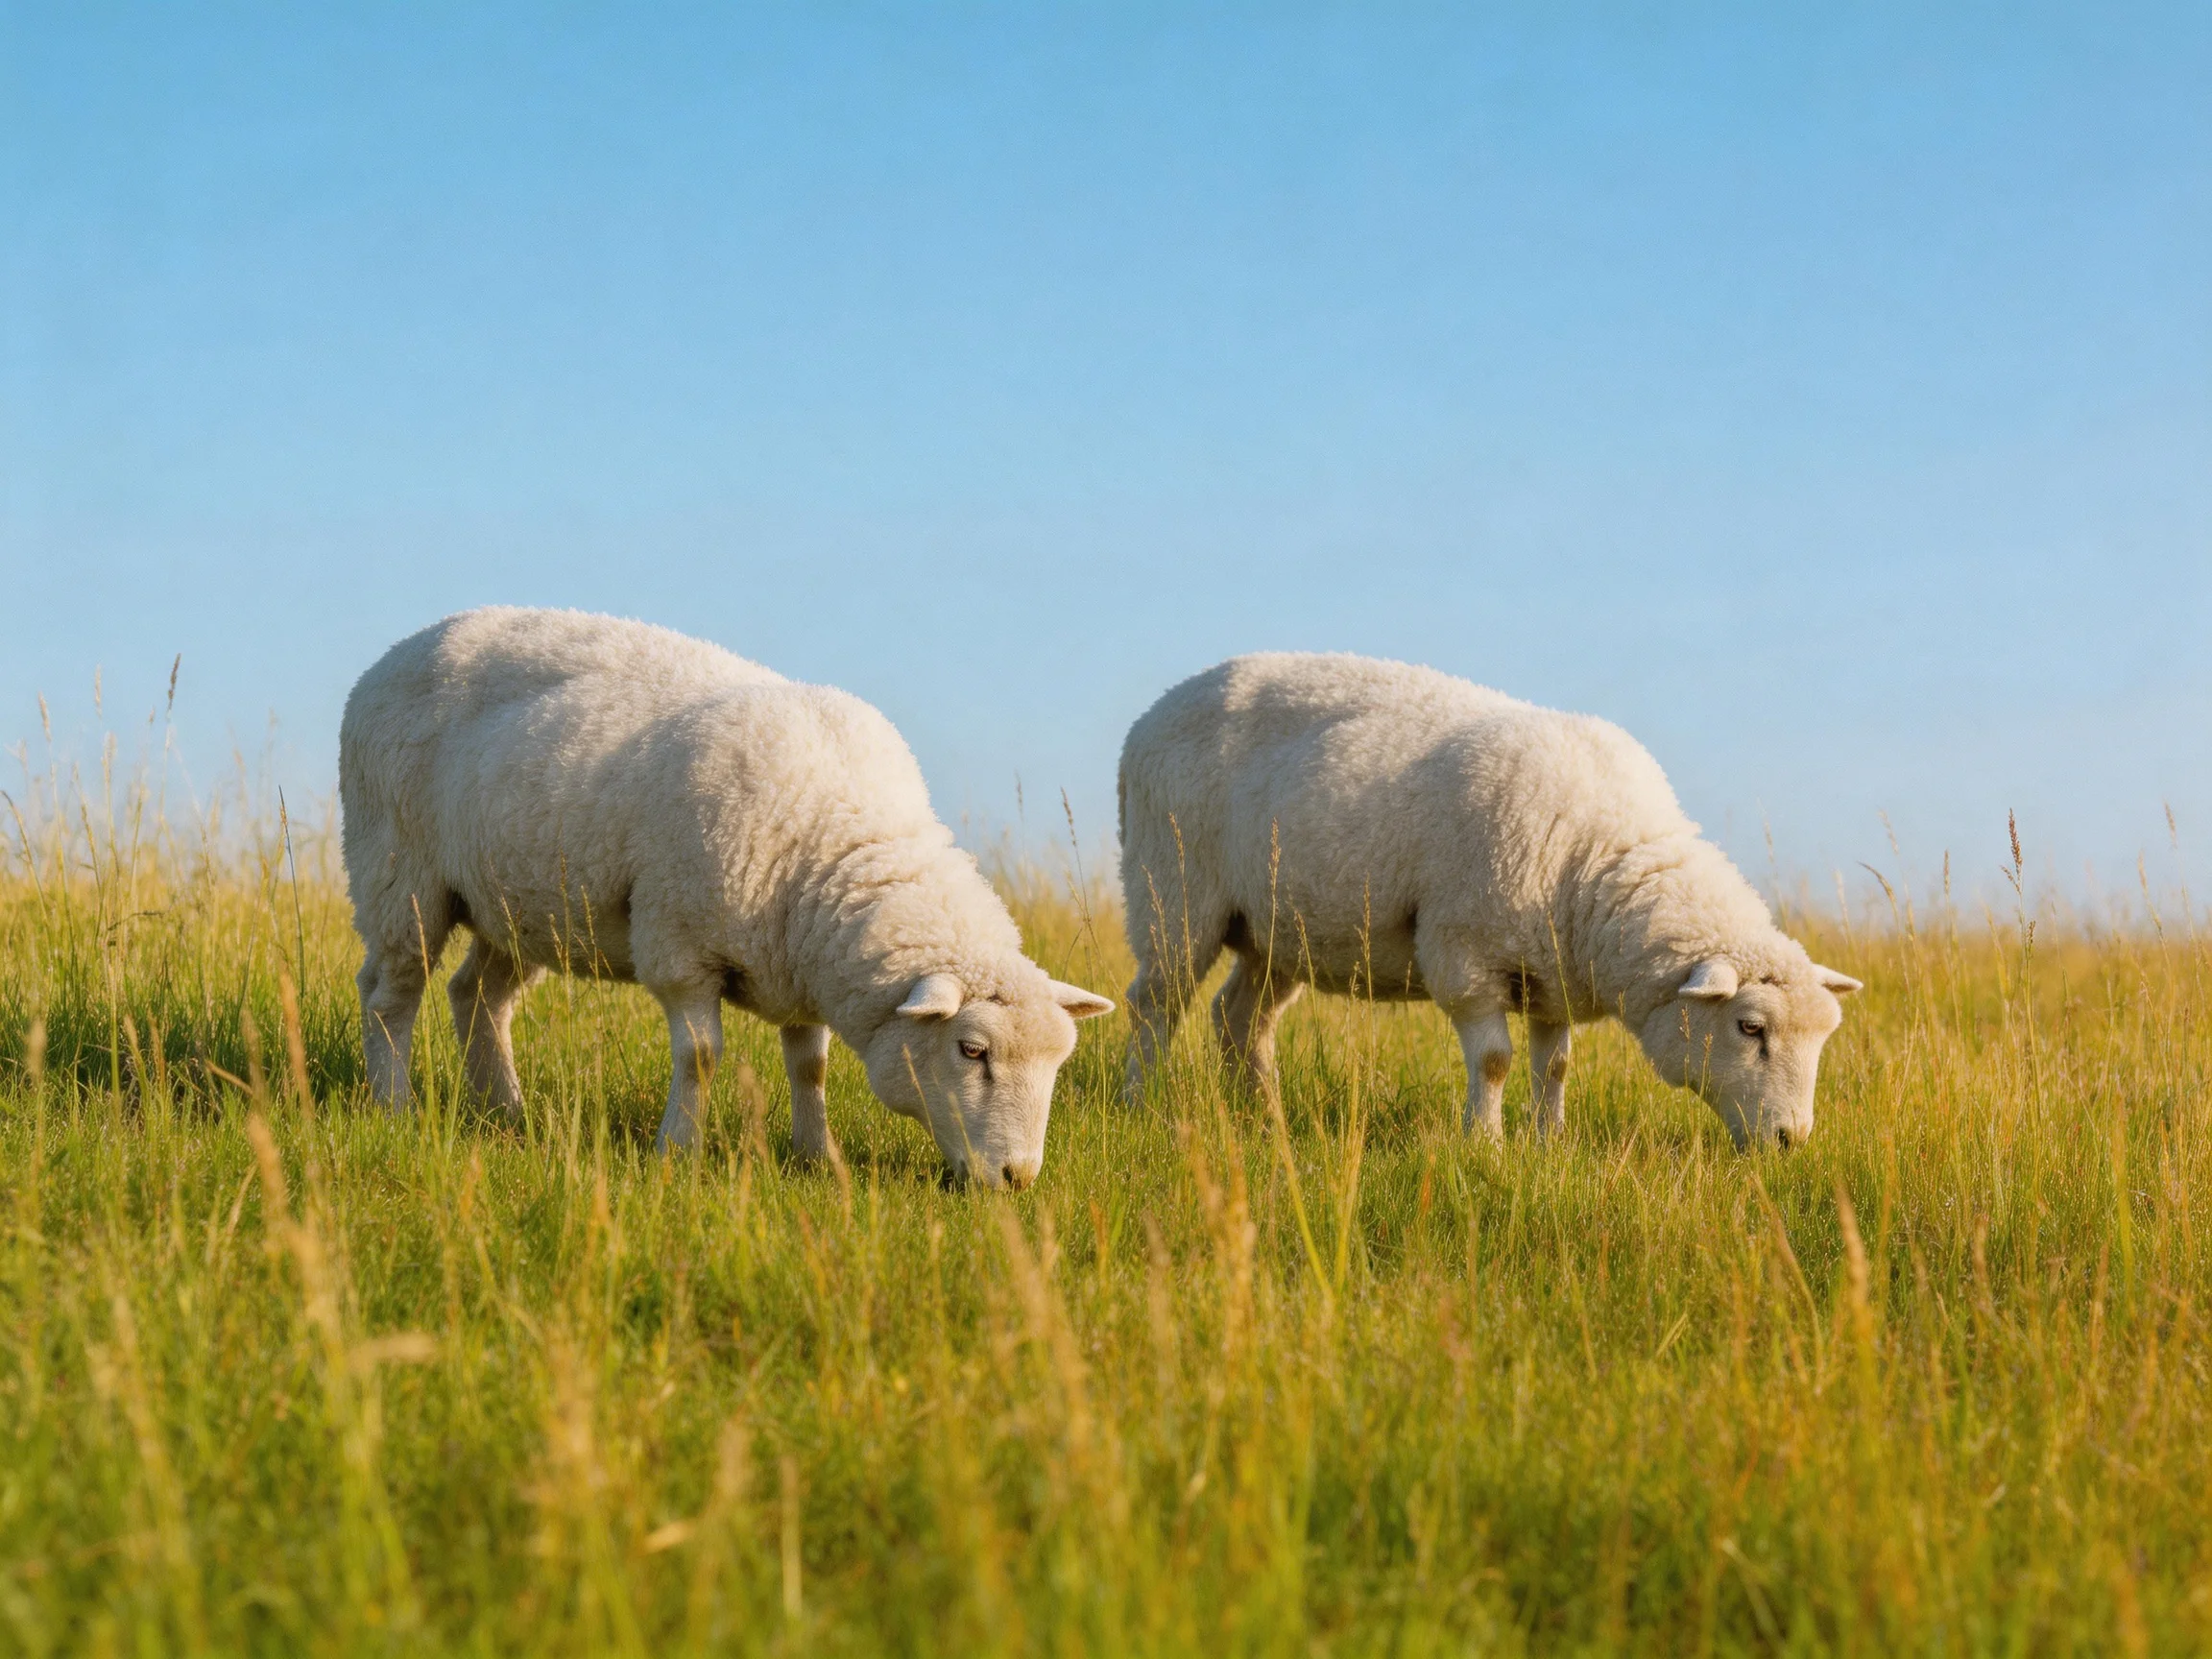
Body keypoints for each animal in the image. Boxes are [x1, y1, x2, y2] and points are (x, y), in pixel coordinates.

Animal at [339, 607, 1113, 1188]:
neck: (841, 833)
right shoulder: (680, 946)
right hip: (398, 868)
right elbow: (701, 1057)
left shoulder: (800, 963)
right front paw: (678, 1149)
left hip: (522, 900)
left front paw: (818, 1157)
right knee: (390, 995)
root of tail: (398, 650)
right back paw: (396, 1106)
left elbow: (810, 1065)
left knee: (477, 995)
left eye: (1058, 1062)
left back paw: (505, 1112)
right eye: (971, 1050)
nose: (1018, 1178)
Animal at [1117, 653, 1860, 1150]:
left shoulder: (1555, 973)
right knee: (1155, 1003)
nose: (1792, 1141)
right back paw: (1137, 1102)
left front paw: (1550, 1144)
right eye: (1750, 1028)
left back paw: (1263, 1117)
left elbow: (1555, 1064)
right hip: (1171, 887)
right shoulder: (1463, 955)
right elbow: (1495, 1060)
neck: (1602, 856)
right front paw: (1487, 1146)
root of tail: (1155, 710)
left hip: (1278, 928)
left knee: (1240, 1018)